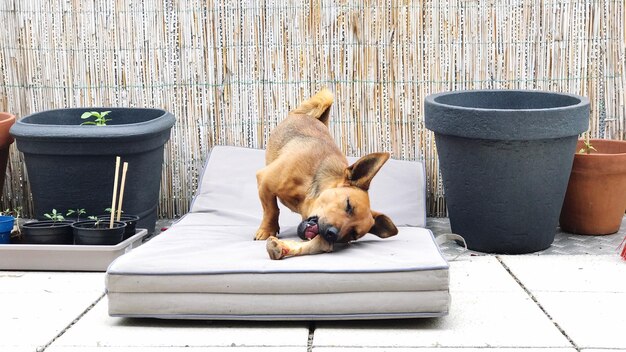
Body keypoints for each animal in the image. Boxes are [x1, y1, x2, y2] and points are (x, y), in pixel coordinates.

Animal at [252, 88, 394, 258]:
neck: (306, 193)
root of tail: (316, 120)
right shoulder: (265, 182)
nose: (331, 233)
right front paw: (268, 229)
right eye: (348, 205)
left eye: (353, 234)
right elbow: (272, 210)